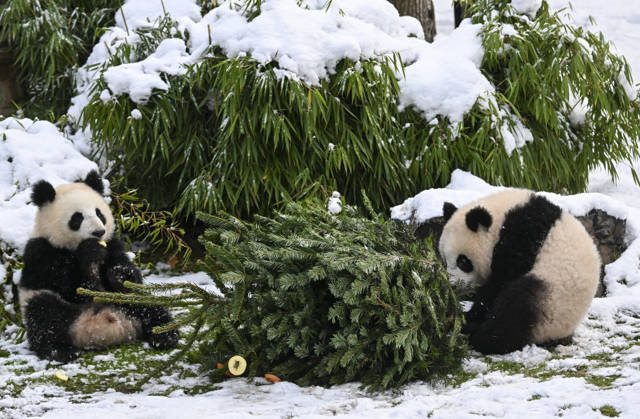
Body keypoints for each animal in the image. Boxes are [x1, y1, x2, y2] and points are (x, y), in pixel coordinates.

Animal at [18, 171, 179, 362]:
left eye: (99, 213)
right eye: (77, 217)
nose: (98, 232)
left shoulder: (112, 243)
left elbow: (124, 270)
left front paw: (119, 275)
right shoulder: (42, 252)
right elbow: (73, 286)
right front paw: (90, 253)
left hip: (126, 302)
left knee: (147, 304)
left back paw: (164, 335)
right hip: (43, 303)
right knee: (44, 315)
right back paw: (61, 350)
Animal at [438, 188, 600, 355]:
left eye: (462, 261)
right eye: (444, 260)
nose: (453, 285)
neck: (501, 218)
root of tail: (559, 334)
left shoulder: (522, 236)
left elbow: (501, 281)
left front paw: (468, 317)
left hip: (553, 299)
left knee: (516, 309)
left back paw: (481, 337)